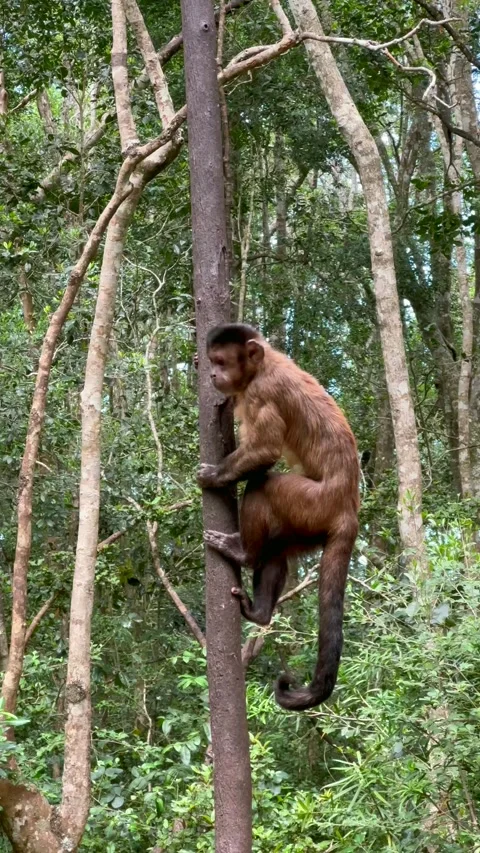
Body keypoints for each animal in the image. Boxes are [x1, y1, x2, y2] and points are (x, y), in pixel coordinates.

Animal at [196, 323, 359, 712]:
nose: (212, 374)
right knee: (276, 552)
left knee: (263, 487)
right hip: (309, 524)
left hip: (312, 502)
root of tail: (349, 508)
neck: (263, 365)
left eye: (222, 361)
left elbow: (266, 450)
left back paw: (242, 552)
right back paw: (260, 613)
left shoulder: (261, 393)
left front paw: (214, 476)